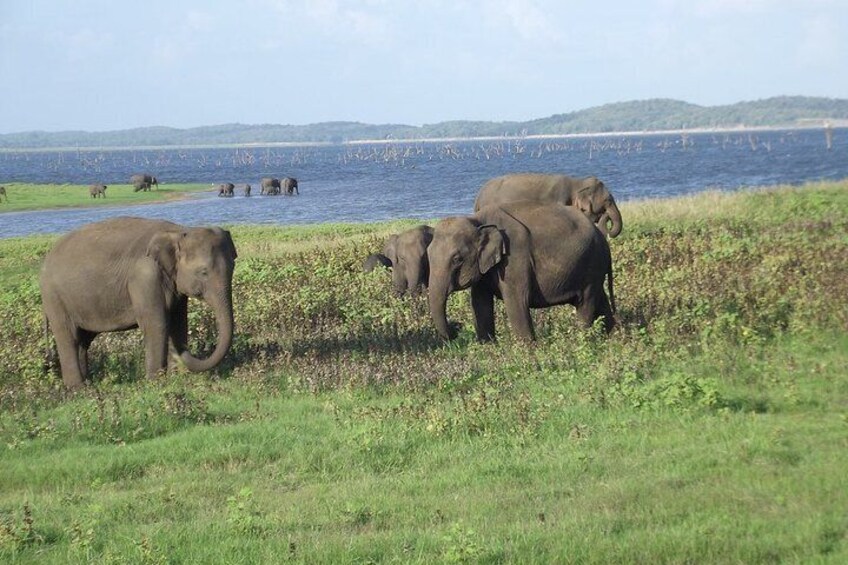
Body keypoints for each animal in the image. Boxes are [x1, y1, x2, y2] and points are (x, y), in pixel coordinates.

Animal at [39, 216, 237, 388]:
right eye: (203, 272)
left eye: (233, 266)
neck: (178, 232)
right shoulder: (145, 277)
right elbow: (157, 324)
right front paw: (156, 383)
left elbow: (178, 323)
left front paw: (178, 378)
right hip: (54, 298)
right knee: (68, 336)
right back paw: (78, 389)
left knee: (83, 340)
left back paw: (88, 384)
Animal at [428, 200, 612, 342]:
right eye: (428, 255)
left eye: (457, 259)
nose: (456, 329)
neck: (477, 219)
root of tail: (602, 237)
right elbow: (480, 304)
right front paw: (488, 347)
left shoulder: (514, 257)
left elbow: (516, 301)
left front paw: (527, 352)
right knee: (601, 302)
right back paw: (613, 337)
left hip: (591, 266)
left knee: (586, 303)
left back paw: (583, 339)